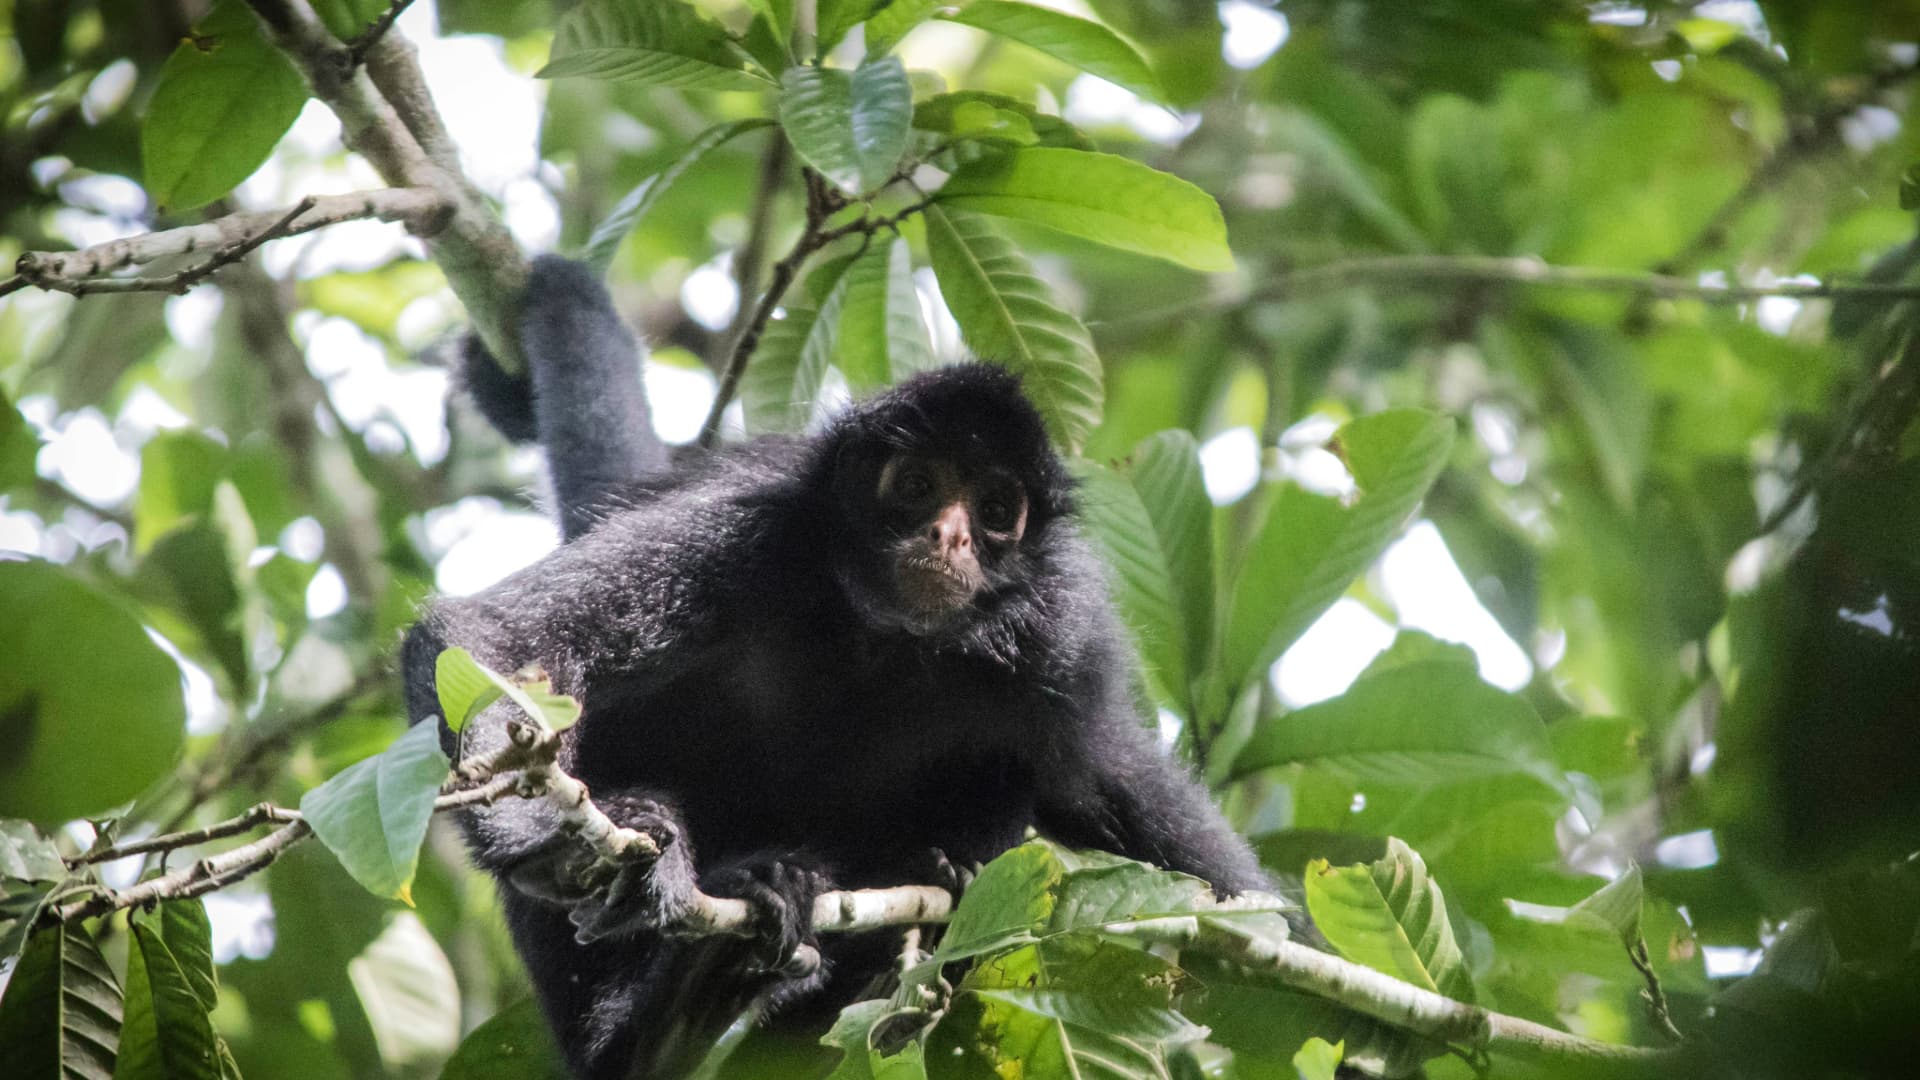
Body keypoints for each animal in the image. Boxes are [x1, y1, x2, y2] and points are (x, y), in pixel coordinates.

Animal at [402, 257, 1272, 1079]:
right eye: (916, 484)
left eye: (996, 511)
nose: (951, 536)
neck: (876, 639)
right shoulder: (747, 530)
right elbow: (492, 638)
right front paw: (544, 834)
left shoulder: (1063, 637)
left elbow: (1119, 791)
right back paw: (662, 1007)